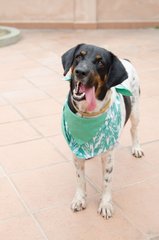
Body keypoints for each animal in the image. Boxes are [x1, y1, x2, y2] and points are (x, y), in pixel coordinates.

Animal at [60, 43, 144, 219]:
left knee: (134, 130)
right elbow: (80, 179)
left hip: (135, 110)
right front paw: (80, 199)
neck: (87, 113)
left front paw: (105, 203)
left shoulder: (108, 156)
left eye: (100, 62)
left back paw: (136, 148)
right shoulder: (76, 152)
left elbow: (107, 181)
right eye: (79, 56)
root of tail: (125, 60)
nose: (80, 72)